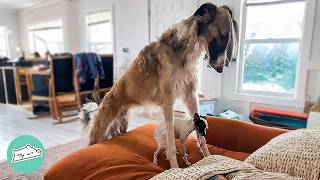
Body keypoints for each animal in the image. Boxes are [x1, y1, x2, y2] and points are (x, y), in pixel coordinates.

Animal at [87, 3, 238, 169]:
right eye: (224, 36)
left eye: (229, 38)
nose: (222, 68)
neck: (183, 49)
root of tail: (105, 96)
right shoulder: (168, 102)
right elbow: (171, 143)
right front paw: (175, 168)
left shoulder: (190, 96)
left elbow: (202, 138)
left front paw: (210, 158)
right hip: (100, 130)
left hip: (121, 125)